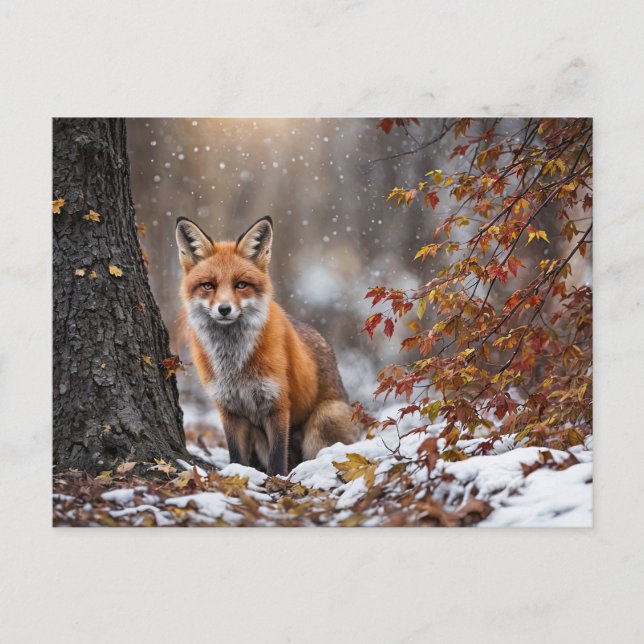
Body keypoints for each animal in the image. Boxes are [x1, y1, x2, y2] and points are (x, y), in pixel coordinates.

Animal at [175, 215, 359, 476]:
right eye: (208, 285)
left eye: (241, 285)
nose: (224, 309)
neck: (234, 362)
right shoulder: (228, 410)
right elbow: (236, 456)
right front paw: (238, 474)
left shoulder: (278, 404)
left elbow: (277, 459)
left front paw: (278, 479)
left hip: (324, 420)